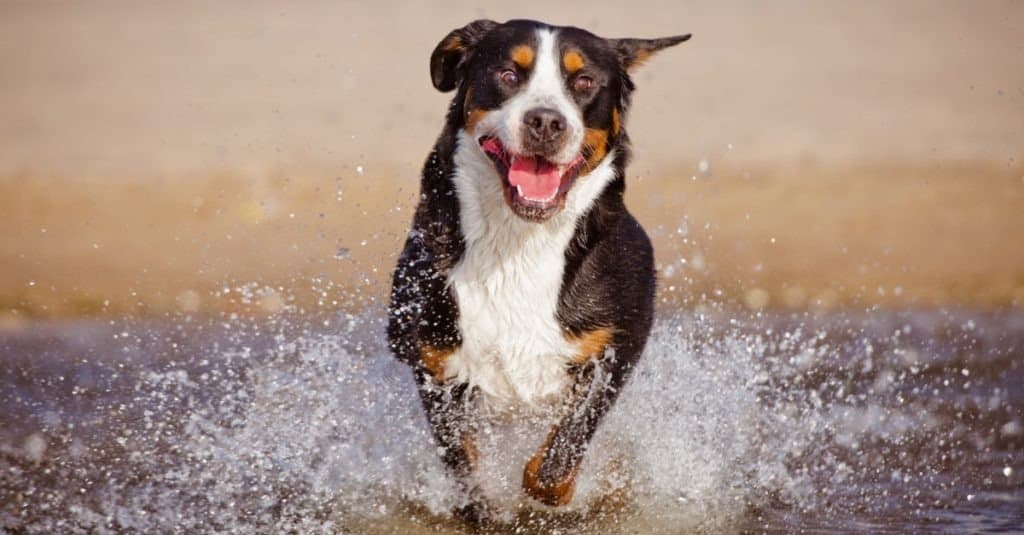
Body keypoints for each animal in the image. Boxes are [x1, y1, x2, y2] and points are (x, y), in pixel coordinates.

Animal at [387, 17, 692, 520]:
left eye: (583, 82)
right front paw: (480, 504)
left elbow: (569, 437)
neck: (518, 243)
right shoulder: (431, 355)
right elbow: (460, 455)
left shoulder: (618, 342)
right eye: (509, 74)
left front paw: (549, 489)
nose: (546, 121)